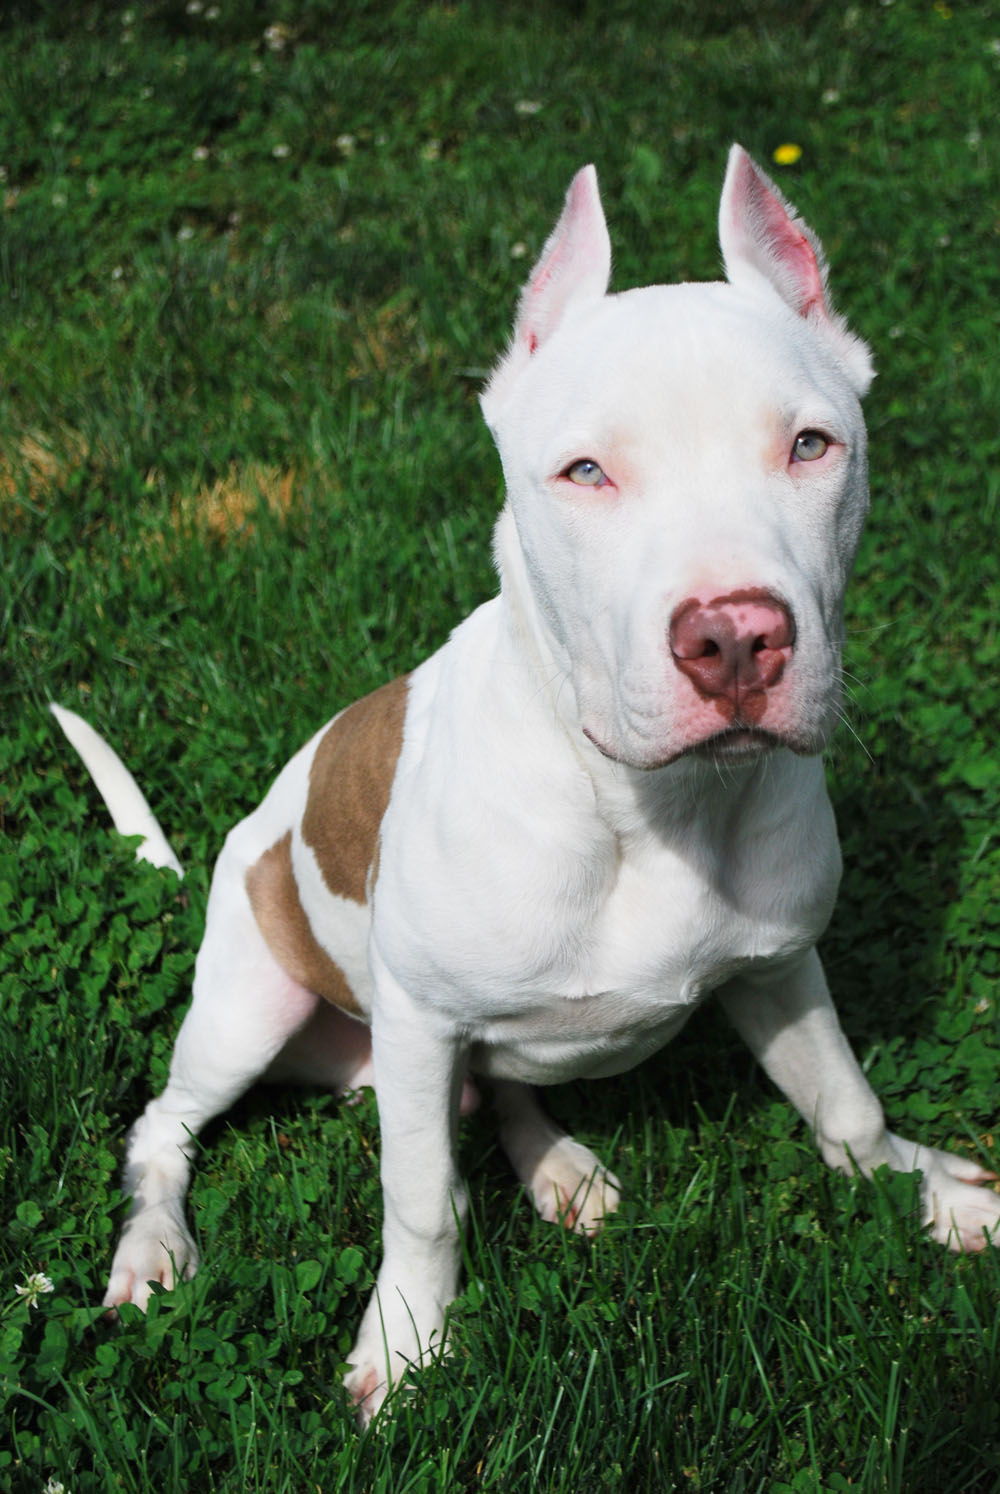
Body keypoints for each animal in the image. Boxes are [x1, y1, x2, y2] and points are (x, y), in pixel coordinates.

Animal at [56, 148, 998, 1422]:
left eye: (812, 446)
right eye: (584, 472)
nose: (735, 640)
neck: (649, 807)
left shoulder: (779, 966)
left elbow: (844, 1102)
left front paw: (924, 1188)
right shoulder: (416, 1021)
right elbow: (417, 1205)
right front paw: (408, 1341)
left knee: (495, 1088)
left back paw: (555, 1164)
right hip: (250, 1006)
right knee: (167, 1125)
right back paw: (154, 1246)